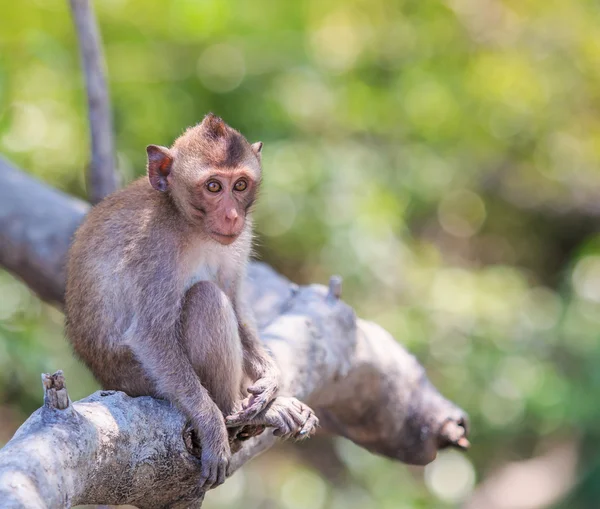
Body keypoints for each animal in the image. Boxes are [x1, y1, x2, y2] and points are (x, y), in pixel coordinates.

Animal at [64, 114, 318, 488]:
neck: (189, 223)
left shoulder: (239, 238)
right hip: (141, 381)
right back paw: (234, 412)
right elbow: (151, 334)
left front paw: (271, 379)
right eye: (213, 187)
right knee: (205, 299)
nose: (232, 216)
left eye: (240, 185)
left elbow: (234, 301)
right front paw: (212, 426)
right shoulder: (155, 247)